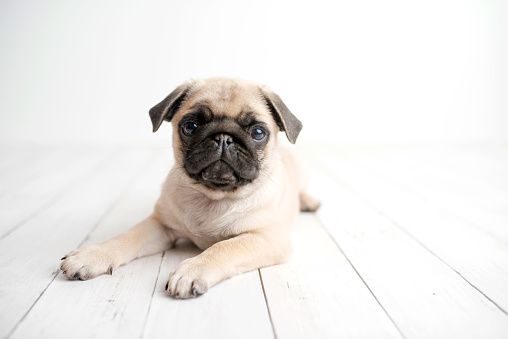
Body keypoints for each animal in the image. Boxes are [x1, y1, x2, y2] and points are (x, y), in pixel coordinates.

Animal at [59, 77, 320, 300]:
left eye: (258, 132)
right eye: (191, 126)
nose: (223, 137)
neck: (213, 198)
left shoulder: (267, 237)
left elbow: (225, 247)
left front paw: (193, 270)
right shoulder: (160, 224)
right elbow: (127, 237)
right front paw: (93, 254)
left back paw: (310, 201)